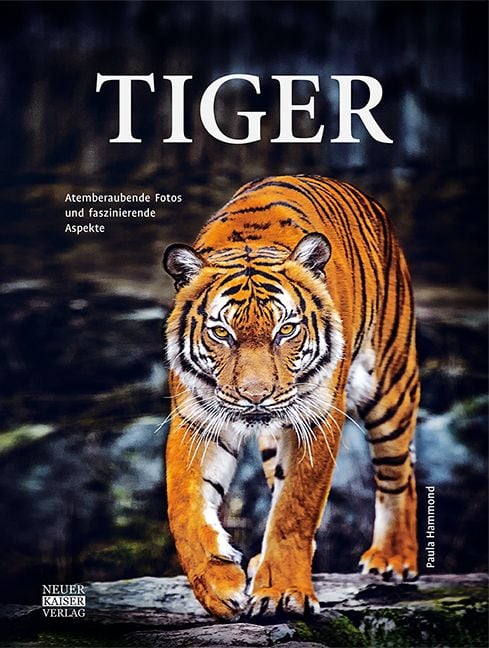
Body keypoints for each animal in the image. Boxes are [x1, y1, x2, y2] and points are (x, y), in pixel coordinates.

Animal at [163, 175, 419, 620]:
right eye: (221, 333)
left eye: (285, 330)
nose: (256, 396)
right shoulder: (197, 419)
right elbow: (185, 504)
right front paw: (219, 587)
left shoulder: (316, 417)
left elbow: (294, 509)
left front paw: (282, 594)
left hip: (391, 388)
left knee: (399, 474)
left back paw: (394, 558)